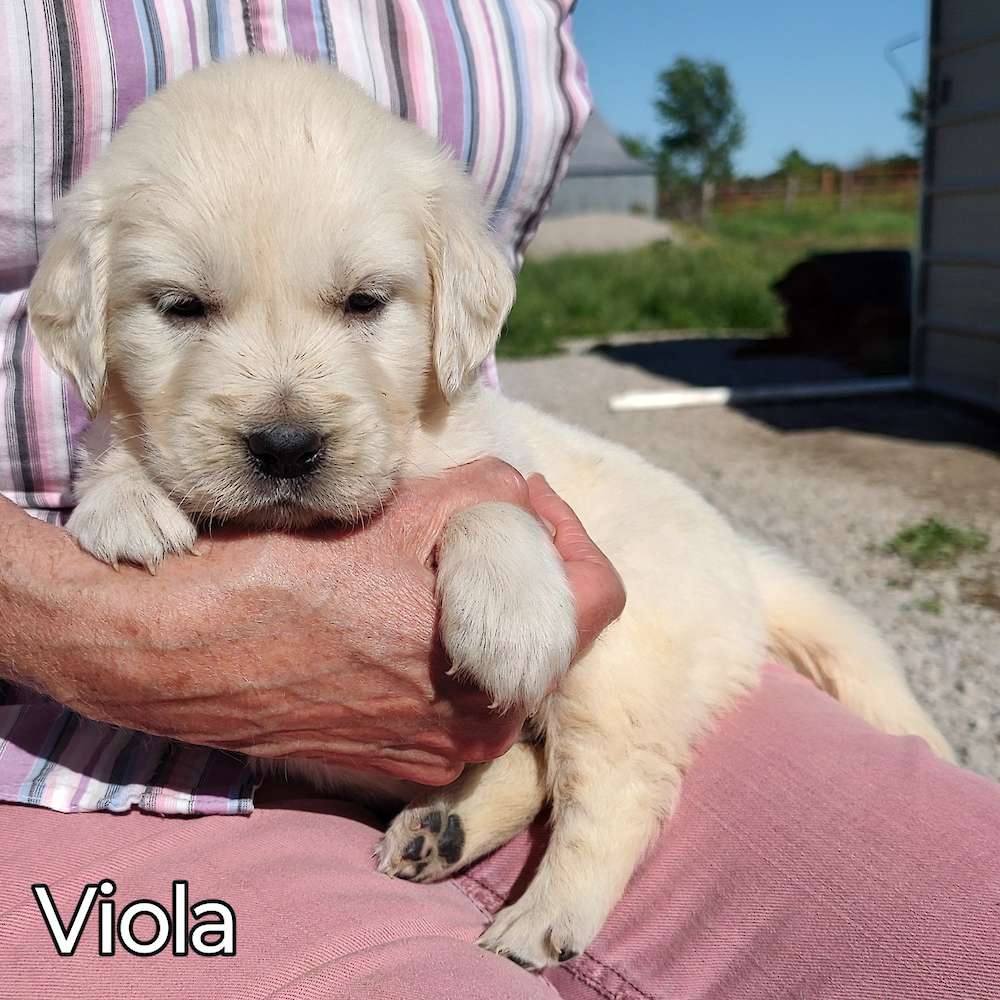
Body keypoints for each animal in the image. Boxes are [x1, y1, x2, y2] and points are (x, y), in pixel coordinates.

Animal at [28, 56, 953, 970]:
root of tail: (746, 566)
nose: (286, 448)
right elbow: (111, 451)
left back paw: (539, 917)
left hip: (623, 666)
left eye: (365, 302)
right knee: (535, 769)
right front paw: (127, 500)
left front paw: (510, 616)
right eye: (181, 307)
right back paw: (445, 828)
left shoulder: (501, 464)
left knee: (619, 787)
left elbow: (485, 503)